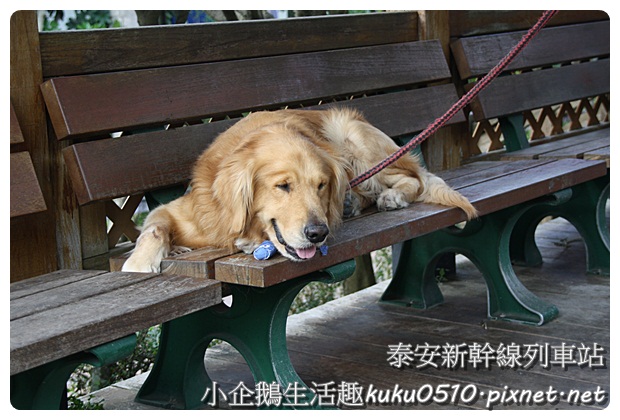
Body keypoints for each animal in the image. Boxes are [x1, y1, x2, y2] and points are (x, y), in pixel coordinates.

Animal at [122, 108, 480, 272]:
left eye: (321, 185)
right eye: (283, 186)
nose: (317, 234)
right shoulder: (185, 210)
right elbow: (154, 228)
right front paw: (140, 262)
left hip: (355, 139)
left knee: (414, 178)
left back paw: (391, 197)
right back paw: (352, 203)